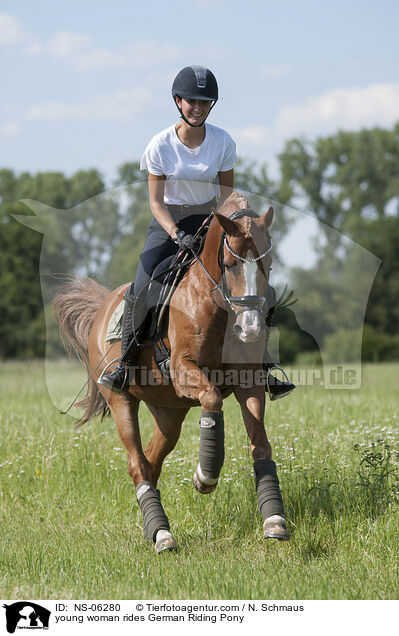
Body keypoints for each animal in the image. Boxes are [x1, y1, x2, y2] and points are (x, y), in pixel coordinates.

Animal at [54, 193, 290, 552]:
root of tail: (104, 306)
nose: (250, 329)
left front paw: (274, 519)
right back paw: (163, 536)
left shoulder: (248, 381)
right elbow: (211, 398)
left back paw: (152, 528)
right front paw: (205, 476)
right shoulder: (183, 370)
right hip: (121, 400)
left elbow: (261, 445)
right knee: (138, 463)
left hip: (169, 414)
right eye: (230, 265)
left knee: (151, 463)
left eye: (269, 264)